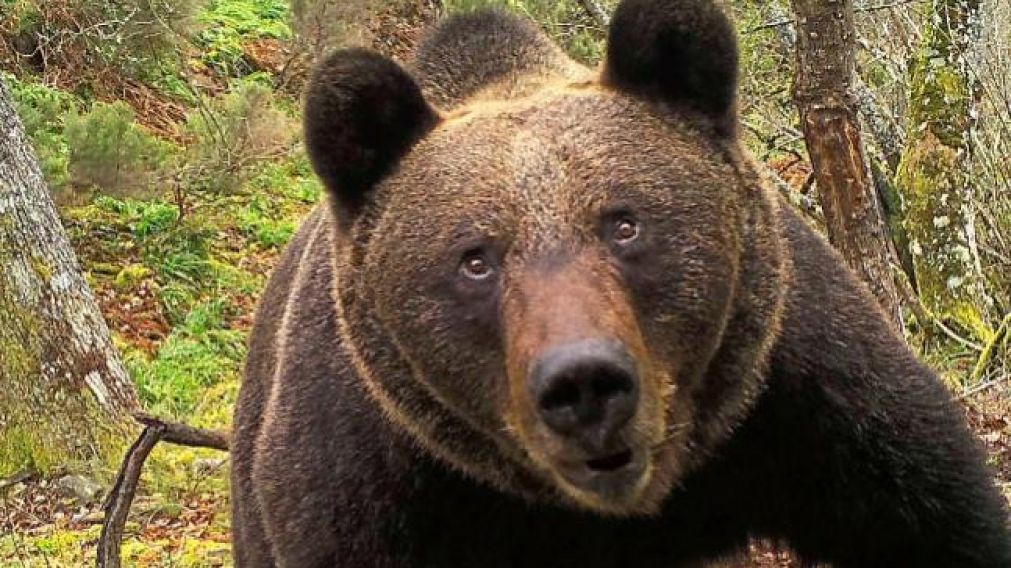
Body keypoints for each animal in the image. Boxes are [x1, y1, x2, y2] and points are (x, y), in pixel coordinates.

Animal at [230, 0, 1011, 566]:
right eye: (474, 258)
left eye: (624, 222)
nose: (582, 384)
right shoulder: (373, 481)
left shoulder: (807, 401)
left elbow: (939, 515)